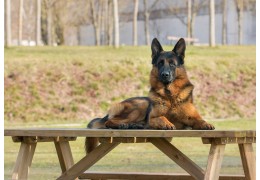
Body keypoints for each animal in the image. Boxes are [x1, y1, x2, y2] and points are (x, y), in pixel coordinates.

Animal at [86, 38, 215, 153]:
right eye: (160, 63)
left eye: (172, 64)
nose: (165, 75)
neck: (169, 96)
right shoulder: (151, 119)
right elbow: (161, 117)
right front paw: (167, 123)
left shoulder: (192, 118)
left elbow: (200, 120)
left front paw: (206, 124)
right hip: (141, 105)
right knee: (109, 121)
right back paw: (126, 125)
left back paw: (134, 125)